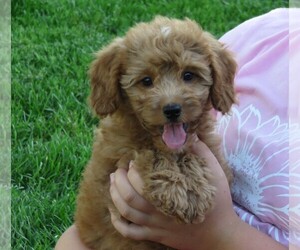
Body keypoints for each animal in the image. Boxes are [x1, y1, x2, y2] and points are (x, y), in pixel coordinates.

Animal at [75, 16, 237, 250]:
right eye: (146, 81)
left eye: (188, 75)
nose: (172, 109)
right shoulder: (112, 175)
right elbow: (149, 154)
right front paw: (180, 191)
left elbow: (190, 156)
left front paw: (192, 189)